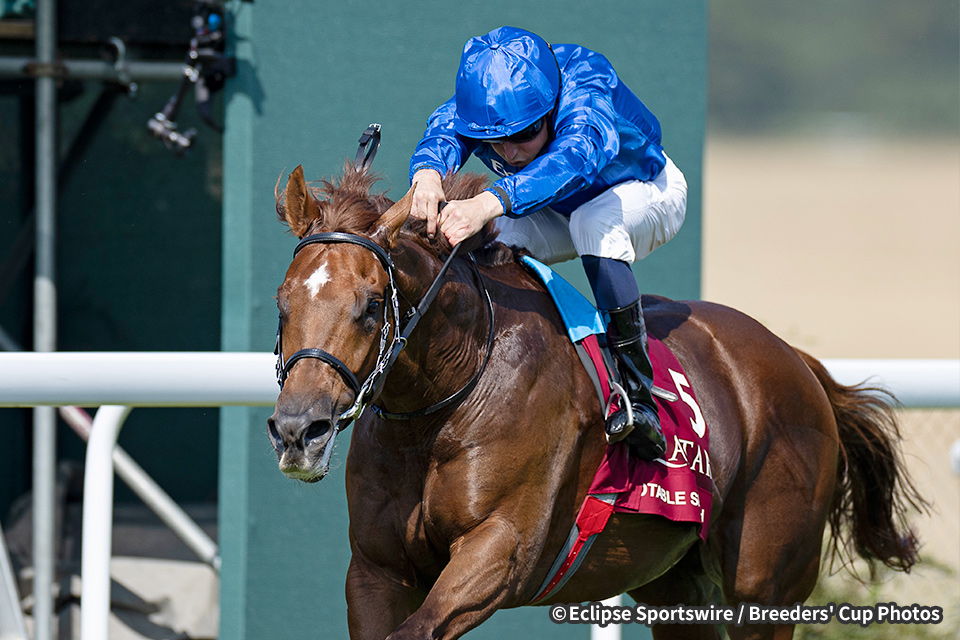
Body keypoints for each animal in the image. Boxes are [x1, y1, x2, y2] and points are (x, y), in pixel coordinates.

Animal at [267, 163, 925, 640]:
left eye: (372, 304)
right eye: (281, 302)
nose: (299, 430)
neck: (440, 406)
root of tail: (798, 364)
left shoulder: (499, 552)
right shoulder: (376, 570)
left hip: (764, 590)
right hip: (673, 587)